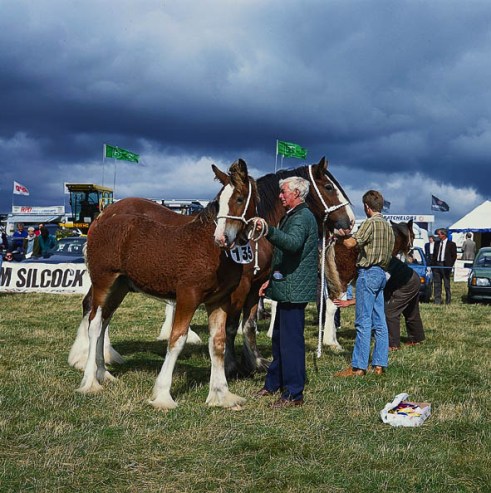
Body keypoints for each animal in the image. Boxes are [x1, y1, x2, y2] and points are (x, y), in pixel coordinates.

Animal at [73, 160, 262, 410]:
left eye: (240, 199)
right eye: (218, 201)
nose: (221, 238)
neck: (211, 251)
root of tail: (100, 220)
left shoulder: (219, 301)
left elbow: (218, 343)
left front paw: (221, 394)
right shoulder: (188, 296)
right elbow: (177, 340)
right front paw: (163, 395)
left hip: (120, 287)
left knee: (104, 321)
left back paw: (104, 373)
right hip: (104, 281)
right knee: (94, 323)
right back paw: (90, 381)